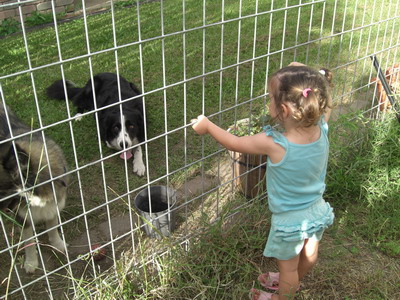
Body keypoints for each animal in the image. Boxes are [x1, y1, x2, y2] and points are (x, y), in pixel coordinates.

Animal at [0, 102, 69, 274]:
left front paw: (57, 244)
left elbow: (52, 228)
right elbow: (29, 242)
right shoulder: (23, 218)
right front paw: (31, 262)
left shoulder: (53, 207)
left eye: (1, 193)